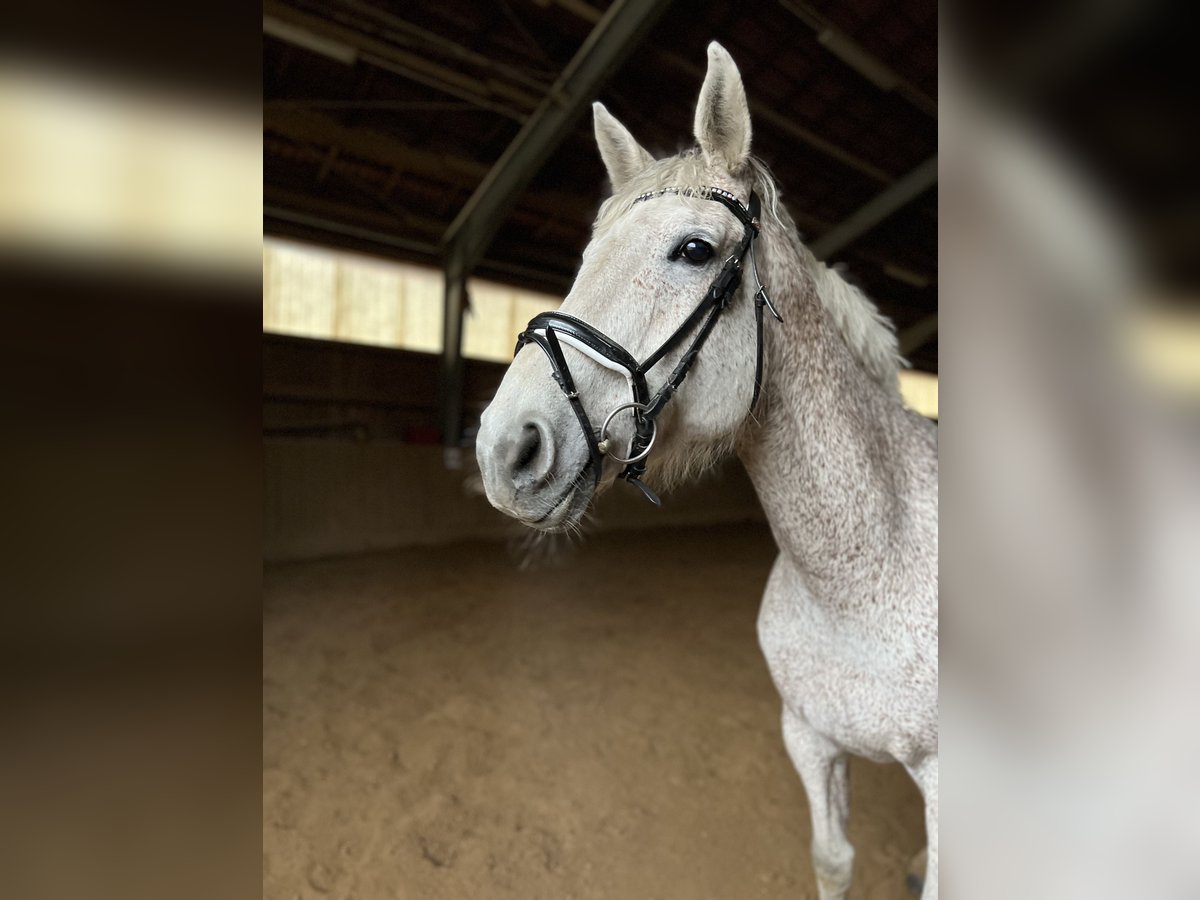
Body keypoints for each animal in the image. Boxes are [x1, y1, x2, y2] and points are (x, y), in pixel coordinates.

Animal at [475, 44, 936, 900]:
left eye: (694, 250)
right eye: (584, 260)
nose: (504, 449)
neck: (858, 577)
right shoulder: (808, 739)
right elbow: (833, 859)